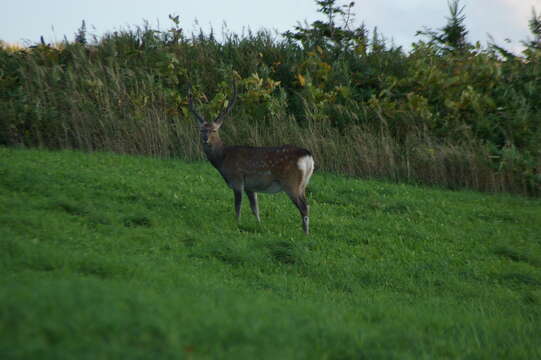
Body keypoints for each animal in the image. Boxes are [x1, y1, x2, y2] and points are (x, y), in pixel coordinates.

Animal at [189, 81, 314, 233]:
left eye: (214, 130)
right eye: (201, 130)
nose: (205, 139)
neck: (222, 159)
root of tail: (307, 156)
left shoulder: (237, 179)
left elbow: (238, 206)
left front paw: (237, 224)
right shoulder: (250, 186)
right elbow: (255, 208)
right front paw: (259, 225)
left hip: (291, 183)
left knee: (304, 207)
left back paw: (305, 233)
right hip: (303, 184)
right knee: (307, 205)